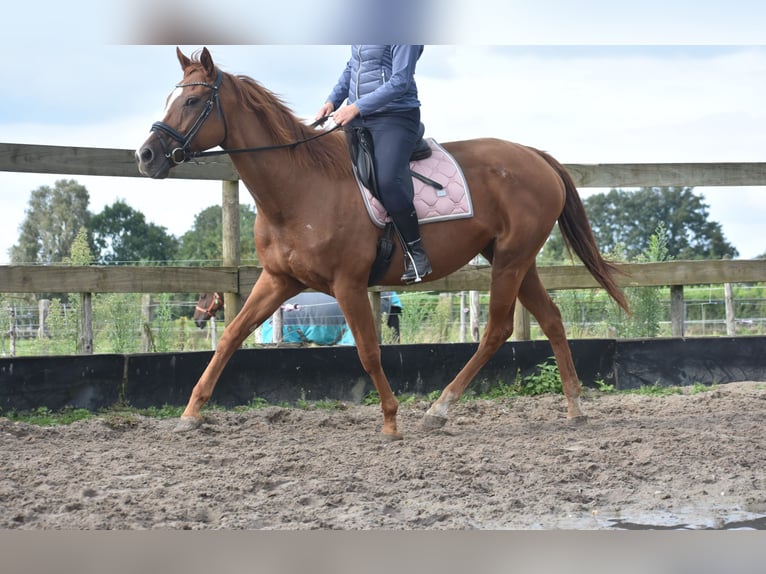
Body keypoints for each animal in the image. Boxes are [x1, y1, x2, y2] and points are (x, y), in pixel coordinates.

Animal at [138, 47, 632, 438]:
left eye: (193, 100)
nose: (146, 156)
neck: (300, 187)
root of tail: (535, 156)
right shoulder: (277, 280)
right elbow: (231, 337)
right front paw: (190, 413)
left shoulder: (349, 285)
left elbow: (369, 352)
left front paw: (392, 420)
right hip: (515, 259)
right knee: (551, 319)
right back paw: (574, 407)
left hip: (510, 260)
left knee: (496, 330)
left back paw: (439, 409)